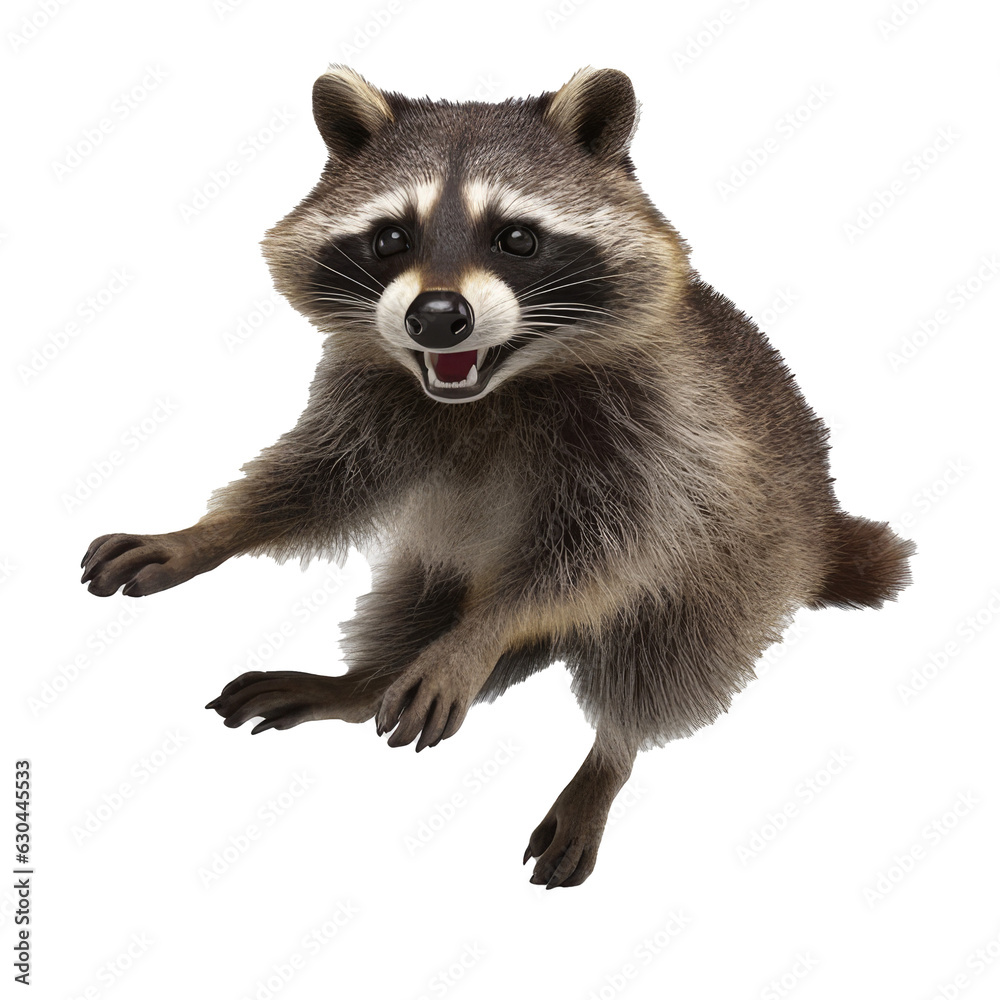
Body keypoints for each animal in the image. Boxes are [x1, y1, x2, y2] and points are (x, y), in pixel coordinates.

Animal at [80, 66, 915, 888]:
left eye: (517, 237)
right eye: (390, 237)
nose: (434, 316)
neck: (491, 386)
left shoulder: (661, 436)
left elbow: (591, 558)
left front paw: (479, 637)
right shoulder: (370, 398)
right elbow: (318, 482)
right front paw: (204, 533)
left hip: (741, 571)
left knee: (664, 656)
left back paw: (605, 756)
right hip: (442, 567)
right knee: (411, 603)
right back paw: (359, 684)